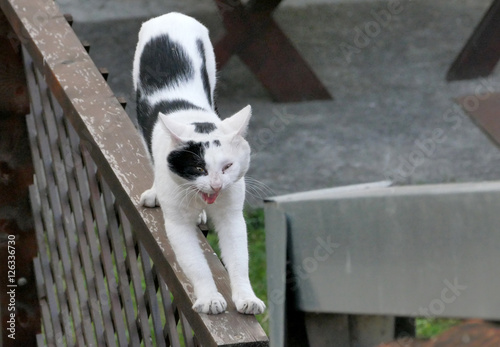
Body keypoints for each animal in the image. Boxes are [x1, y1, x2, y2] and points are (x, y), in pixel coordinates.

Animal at [133, 12, 266, 316]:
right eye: (198, 169)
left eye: (227, 166)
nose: (216, 184)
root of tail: (172, 15)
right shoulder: (177, 223)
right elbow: (196, 264)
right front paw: (210, 299)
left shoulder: (232, 215)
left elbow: (239, 260)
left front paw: (246, 298)